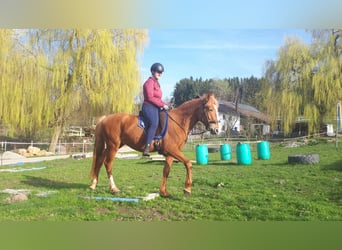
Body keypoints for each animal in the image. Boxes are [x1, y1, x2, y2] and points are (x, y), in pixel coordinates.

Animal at [89, 92, 219, 197]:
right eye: (209, 109)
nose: (216, 129)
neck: (178, 122)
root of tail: (105, 118)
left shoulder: (170, 153)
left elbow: (166, 170)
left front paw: (164, 192)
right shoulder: (172, 150)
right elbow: (188, 164)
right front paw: (187, 189)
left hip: (114, 145)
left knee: (100, 160)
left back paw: (93, 184)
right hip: (113, 146)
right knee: (108, 163)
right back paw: (114, 188)